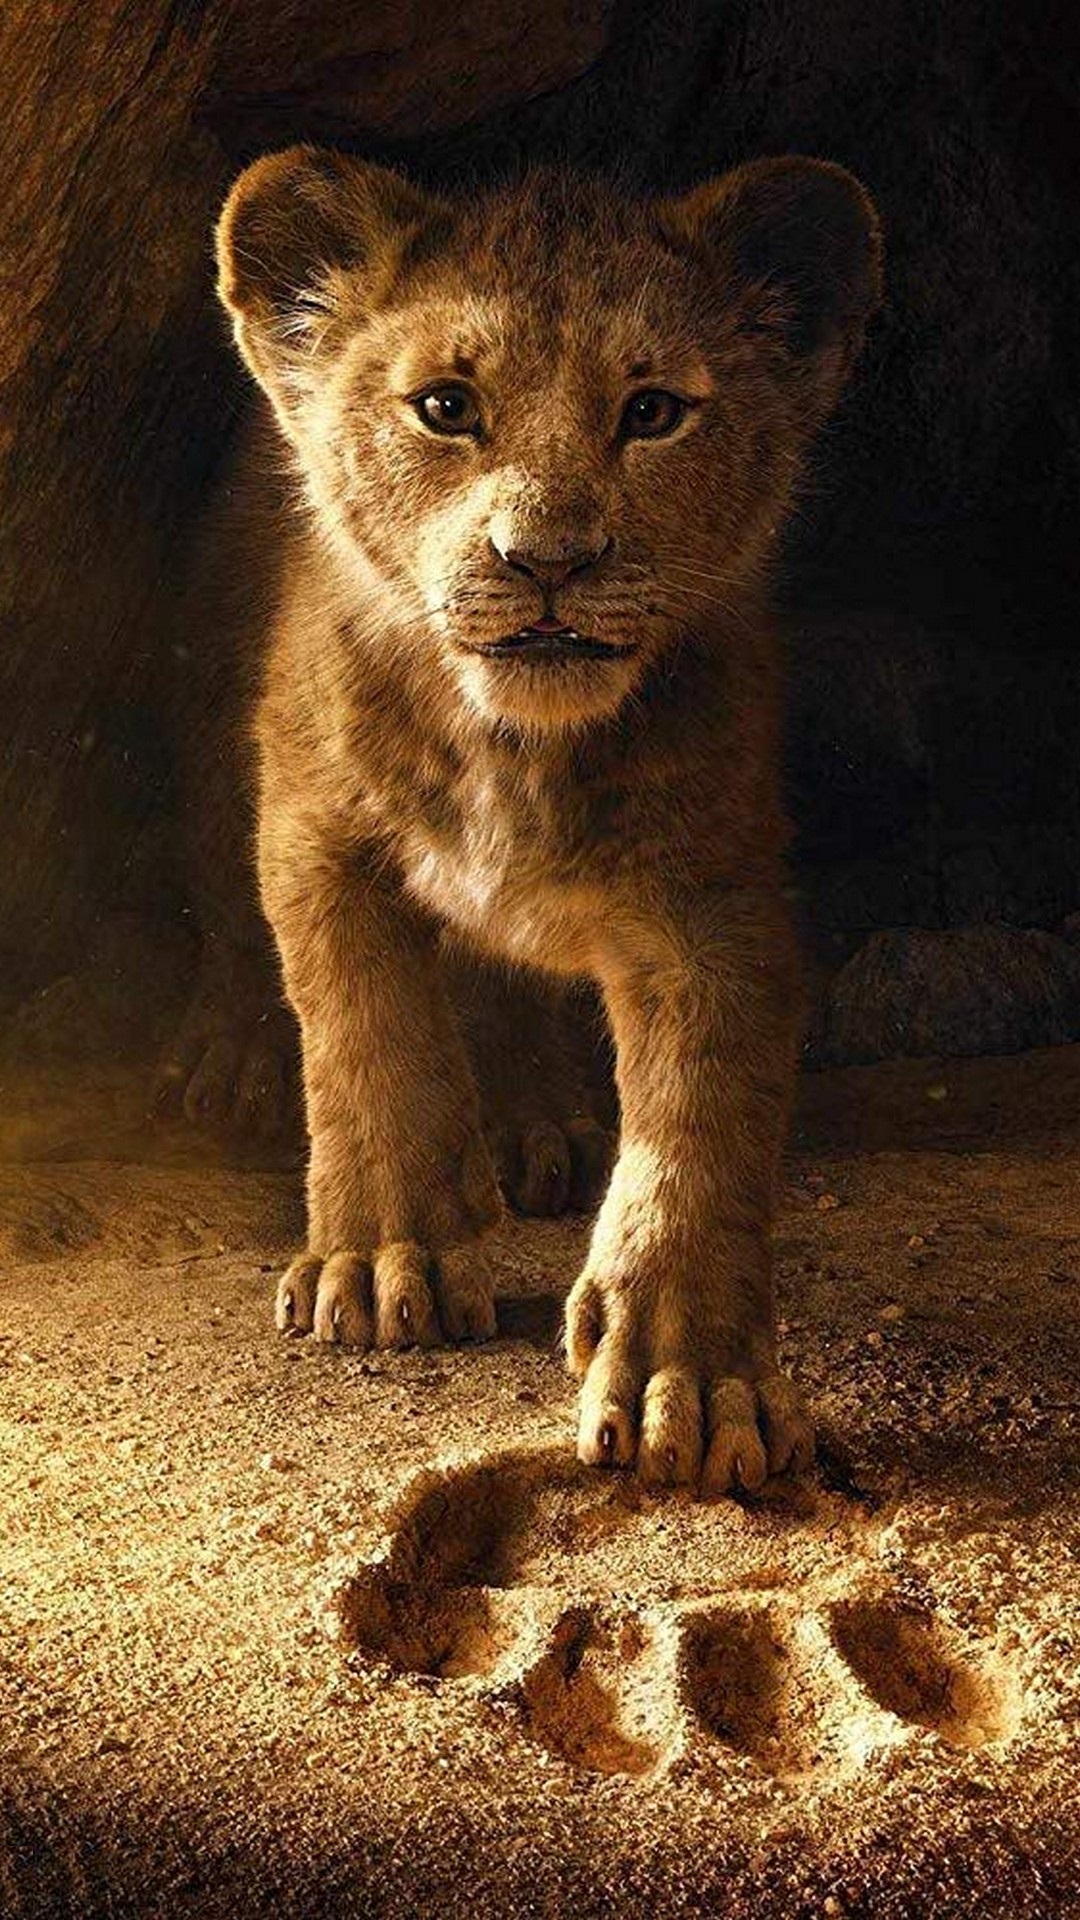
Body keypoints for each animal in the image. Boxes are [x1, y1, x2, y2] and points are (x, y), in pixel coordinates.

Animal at [167, 148, 881, 1493]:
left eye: (653, 412)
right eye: (446, 406)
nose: (547, 559)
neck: (515, 746)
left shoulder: (713, 894)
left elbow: (701, 1124)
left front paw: (691, 1379)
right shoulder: (316, 831)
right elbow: (367, 1038)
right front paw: (381, 1261)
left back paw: (532, 1123)